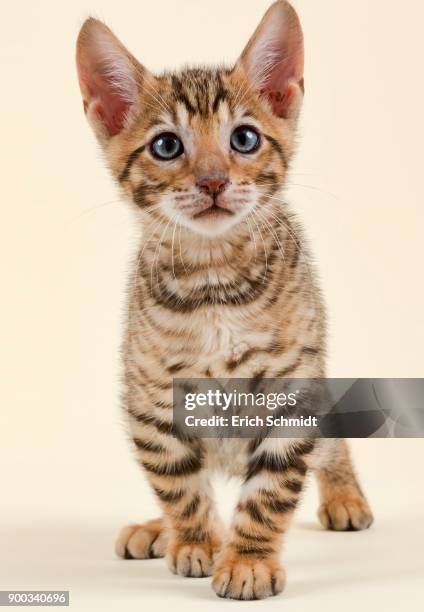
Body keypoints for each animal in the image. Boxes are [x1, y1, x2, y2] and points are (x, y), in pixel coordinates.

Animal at [77, 1, 374, 604]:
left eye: (244, 139)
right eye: (167, 146)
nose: (213, 181)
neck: (214, 283)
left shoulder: (291, 392)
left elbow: (269, 492)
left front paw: (249, 560)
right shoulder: (151, 401)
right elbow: (178, 485)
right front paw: (192, 540)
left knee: (333, 444)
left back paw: (344, 497)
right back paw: (160, 530)